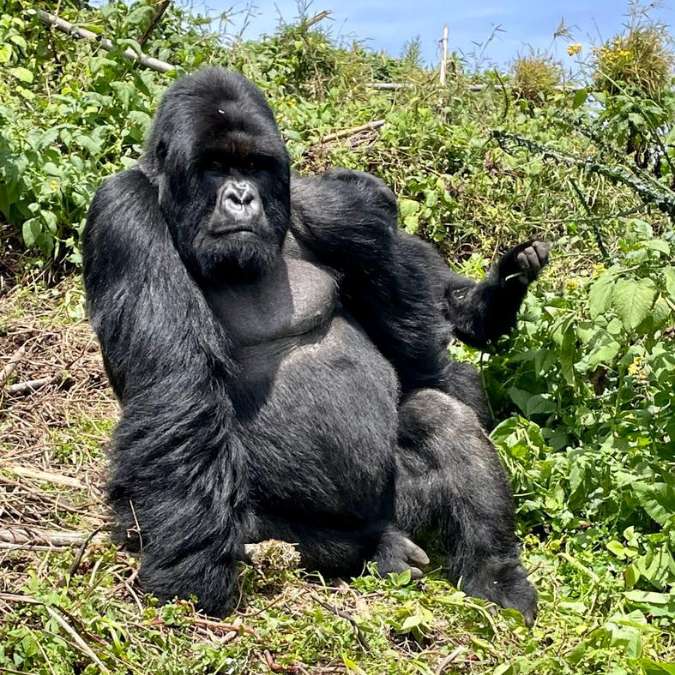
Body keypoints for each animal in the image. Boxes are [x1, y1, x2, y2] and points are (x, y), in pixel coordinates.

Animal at [83, 67, 548, 624]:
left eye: (254, 167)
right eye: (215, 167)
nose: (242, 198)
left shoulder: (333, 209)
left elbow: (413, 339)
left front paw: (492, 300)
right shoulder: (123, 211)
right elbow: (177, 383)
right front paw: (191, 575)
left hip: (403, 500)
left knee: (439, 416)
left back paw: (494, 575)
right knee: (247, 517)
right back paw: (373, 550)